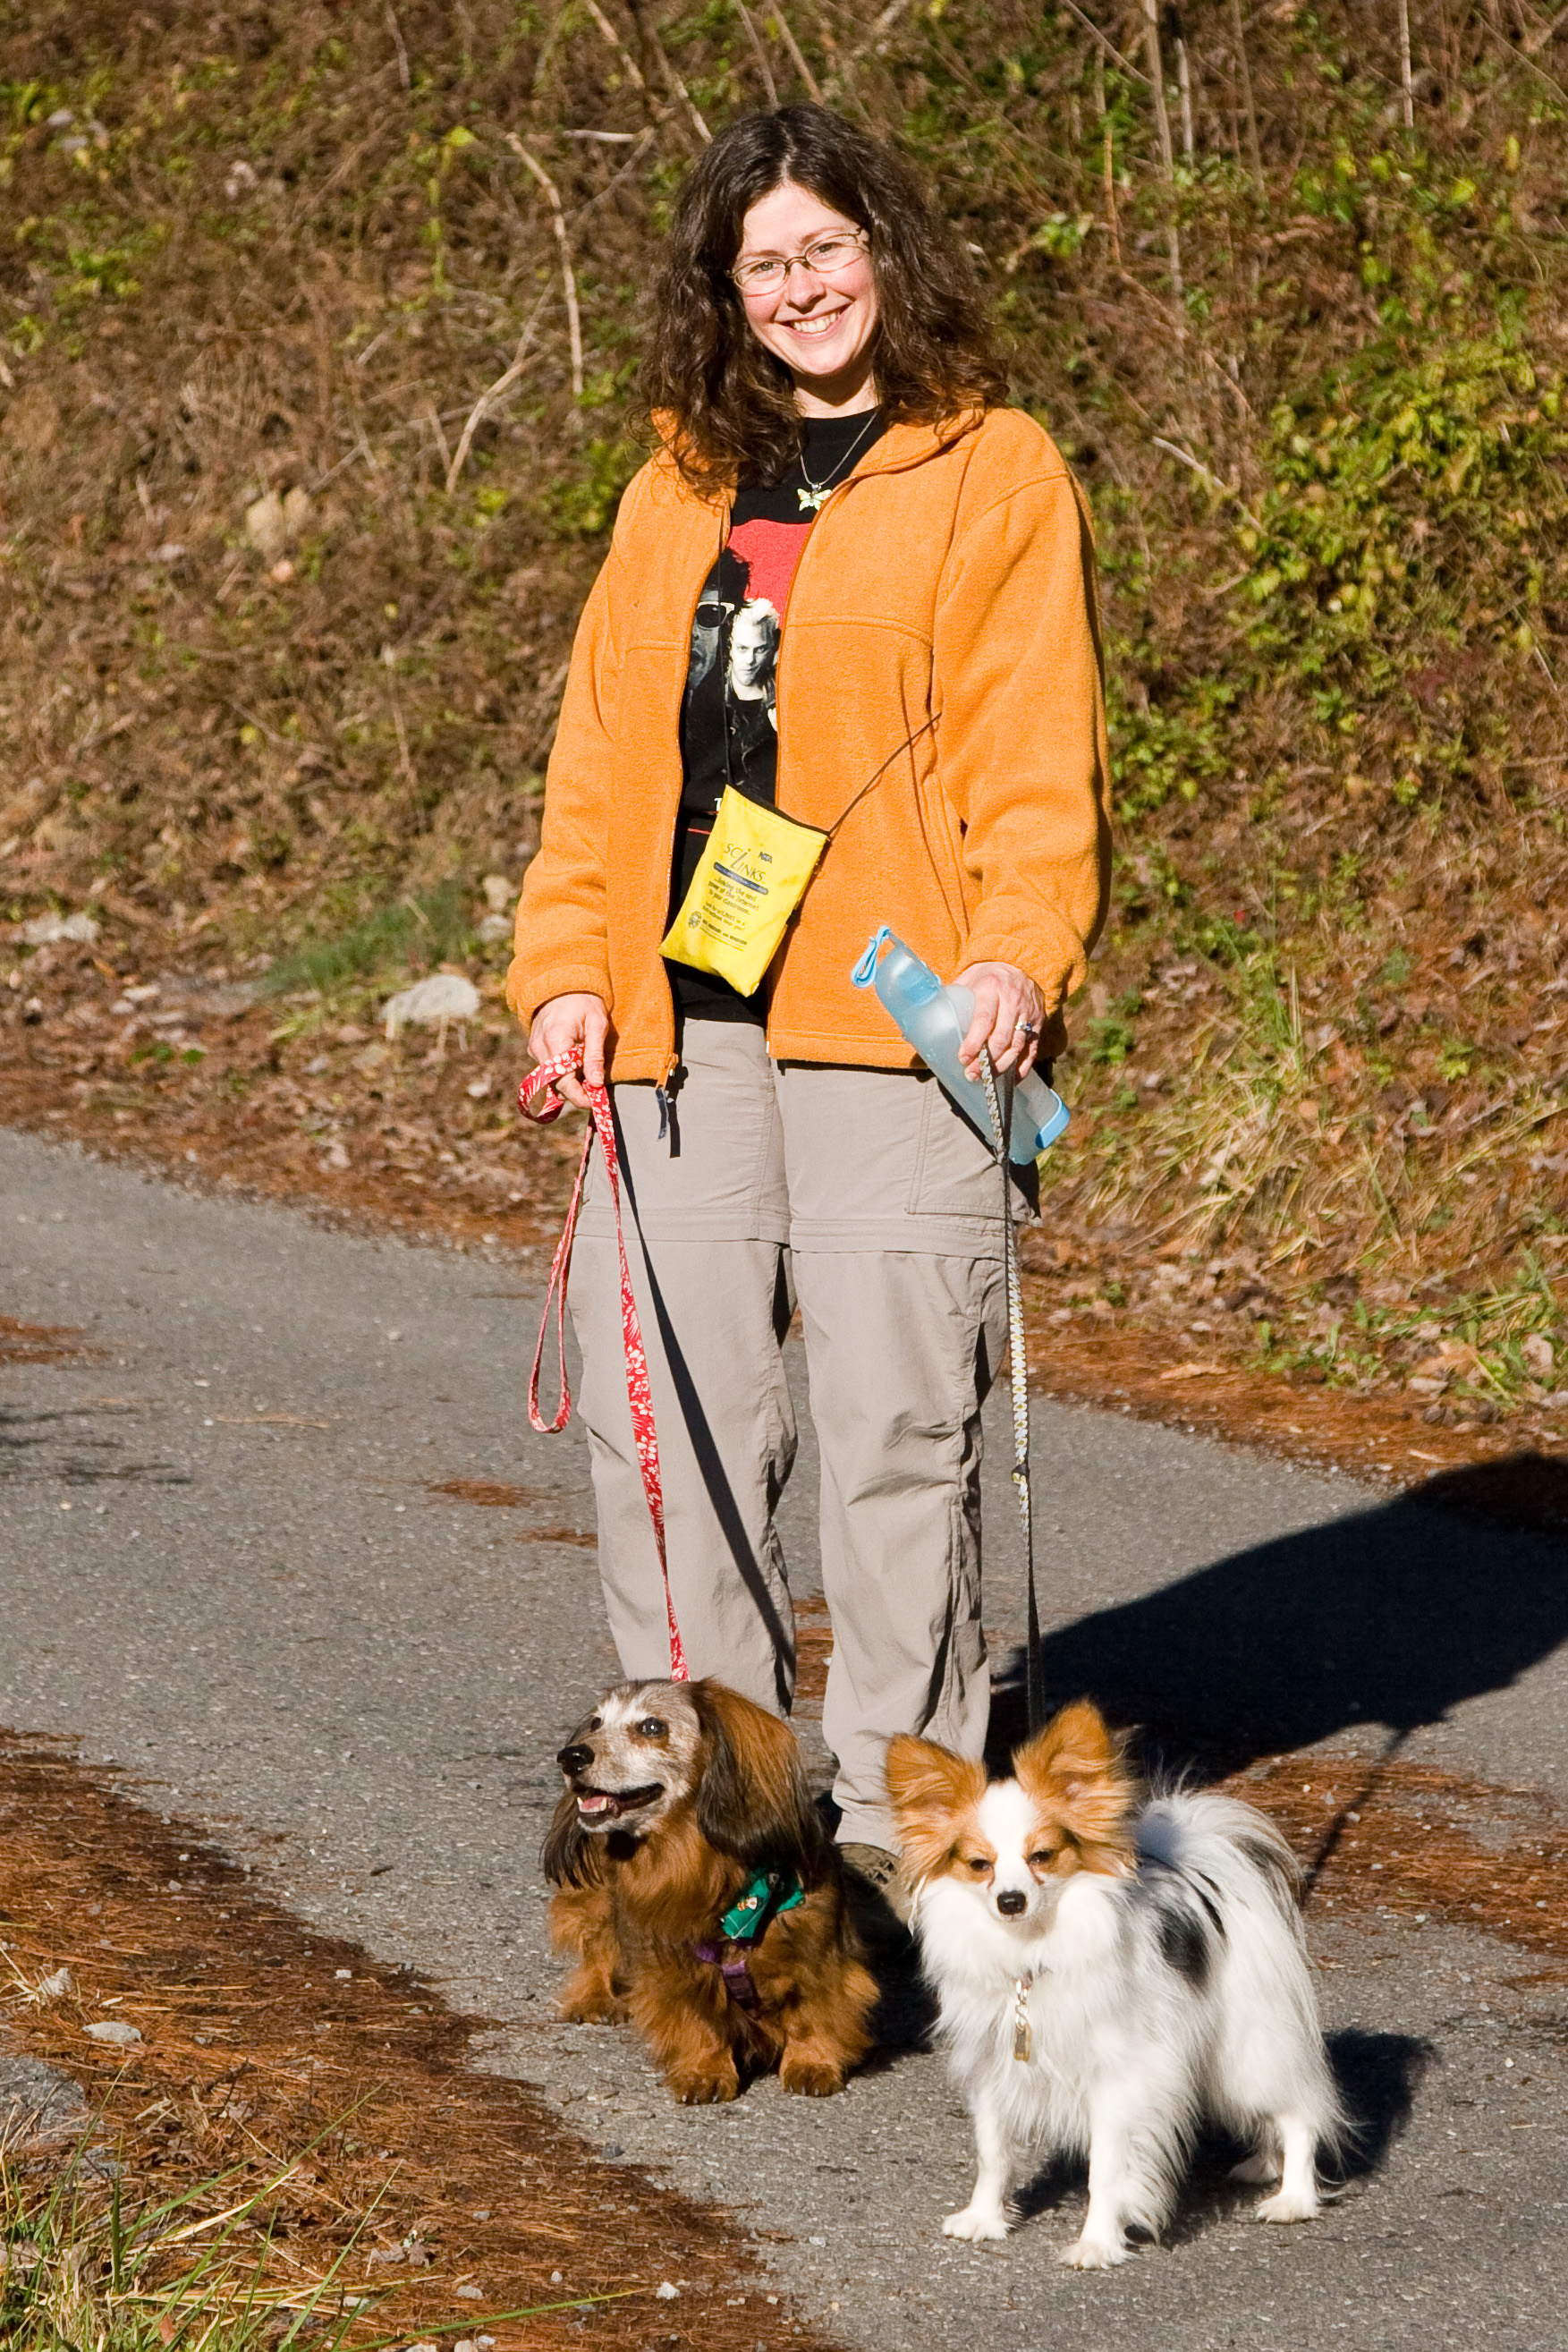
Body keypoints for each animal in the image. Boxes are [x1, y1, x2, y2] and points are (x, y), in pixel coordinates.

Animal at [888, 1702, 1344, 2267]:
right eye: (979, 1865)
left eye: (1043, 1856)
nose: (1010, 1901)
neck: (1032, 1955)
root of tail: (1208, 1874)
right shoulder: (995, 2069)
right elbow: (993, 2154)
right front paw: (984, 2218)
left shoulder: (1118, 2081)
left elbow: (1106, 2171)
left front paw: (1097, 2243)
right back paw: (1264, 2164)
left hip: (1246, 2049)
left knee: (1298, 2112)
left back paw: (1293, 2198)